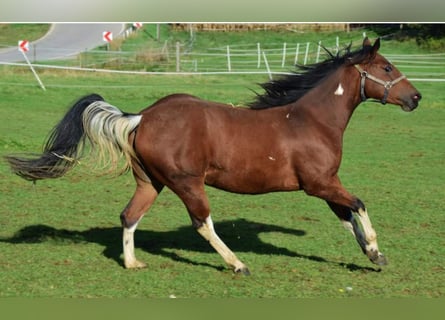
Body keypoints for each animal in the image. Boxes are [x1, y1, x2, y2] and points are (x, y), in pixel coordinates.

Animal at [4, 38, 420, 274]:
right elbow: (359, 205)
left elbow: (347, 216)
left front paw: (372, 255)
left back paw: (133, 263)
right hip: (188, 183)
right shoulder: (319, 184)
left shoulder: (325, 185)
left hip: (150, 182)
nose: (415, 98)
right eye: (387, 68)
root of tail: (142, 116)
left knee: (129, 216)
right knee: (202, 223)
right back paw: (238, 265)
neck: (310, 121)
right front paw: (376, 250)